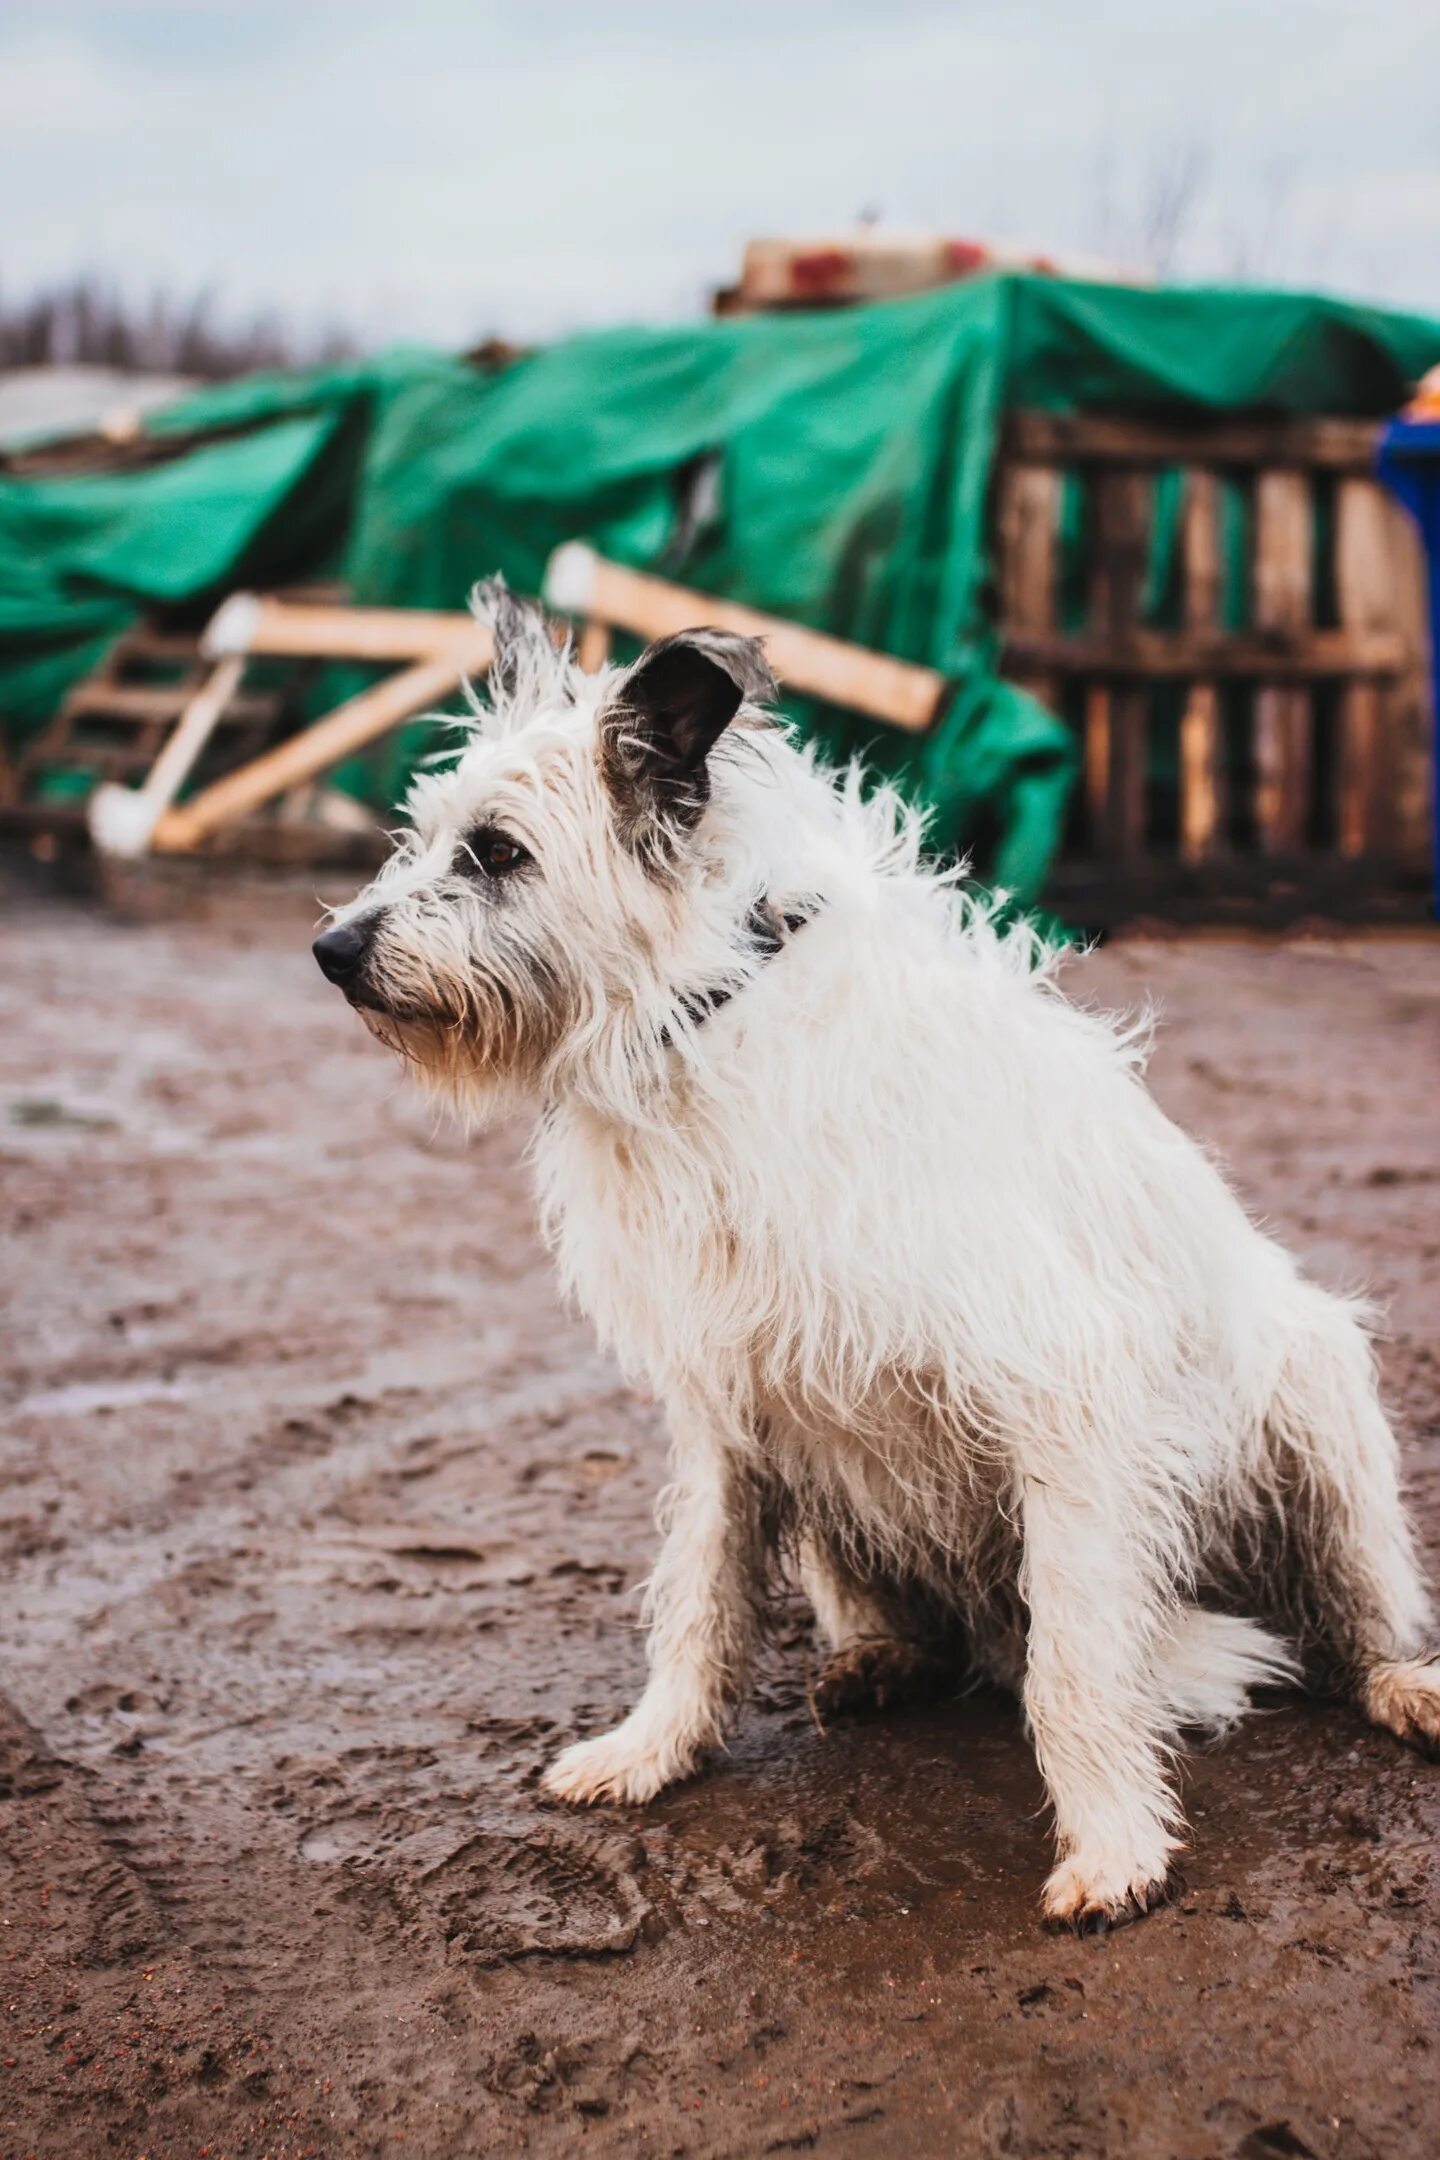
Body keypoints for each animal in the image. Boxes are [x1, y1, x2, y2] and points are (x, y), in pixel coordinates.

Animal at [317, 583, 1440, 1935]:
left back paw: (1406, 1686)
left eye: (495, 853)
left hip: (1318, 1404)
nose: (332, 951)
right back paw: (880, 1660)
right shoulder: (724, 1410)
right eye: (423, 837)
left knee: (1350, 1624)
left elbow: (1072, 1662)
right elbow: (700, 1599)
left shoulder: (1067, 1396)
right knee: (923, 1626)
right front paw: (654, 1749)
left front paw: (1114, 1845)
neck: (708, 1023)